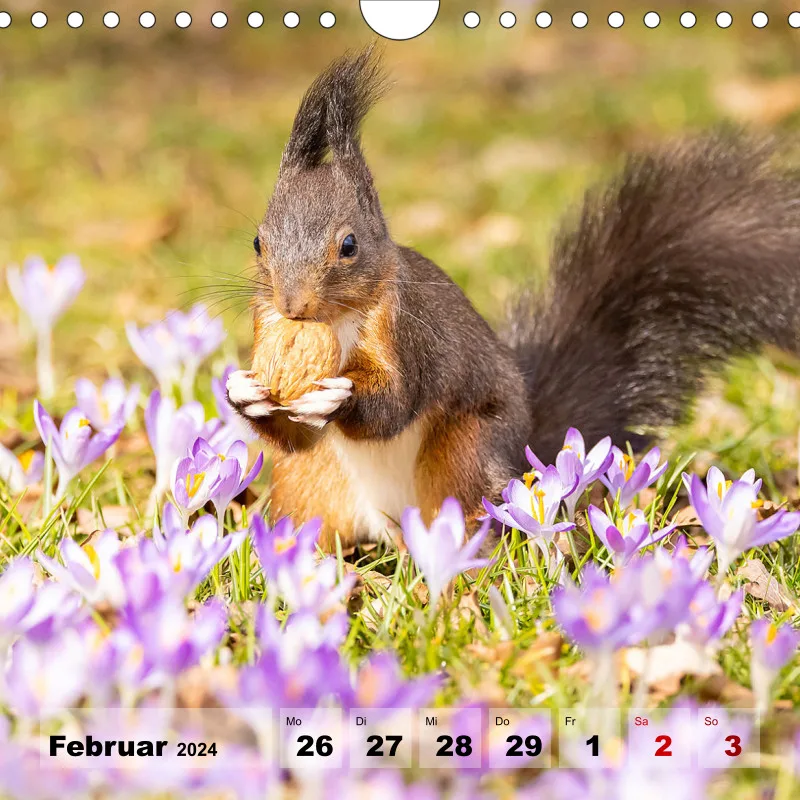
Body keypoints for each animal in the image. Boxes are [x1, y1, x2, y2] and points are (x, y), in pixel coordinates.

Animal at [226, 46, 800, 552]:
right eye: (257, 242)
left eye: (348, 245)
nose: (293, 306)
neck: (335, 322)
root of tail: (390, 522)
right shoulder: (264, 323)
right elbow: (293, 432)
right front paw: (243, 389)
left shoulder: (407, 333)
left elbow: (394, 404)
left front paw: (337, 395)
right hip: (310, 484)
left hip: (466, 455)